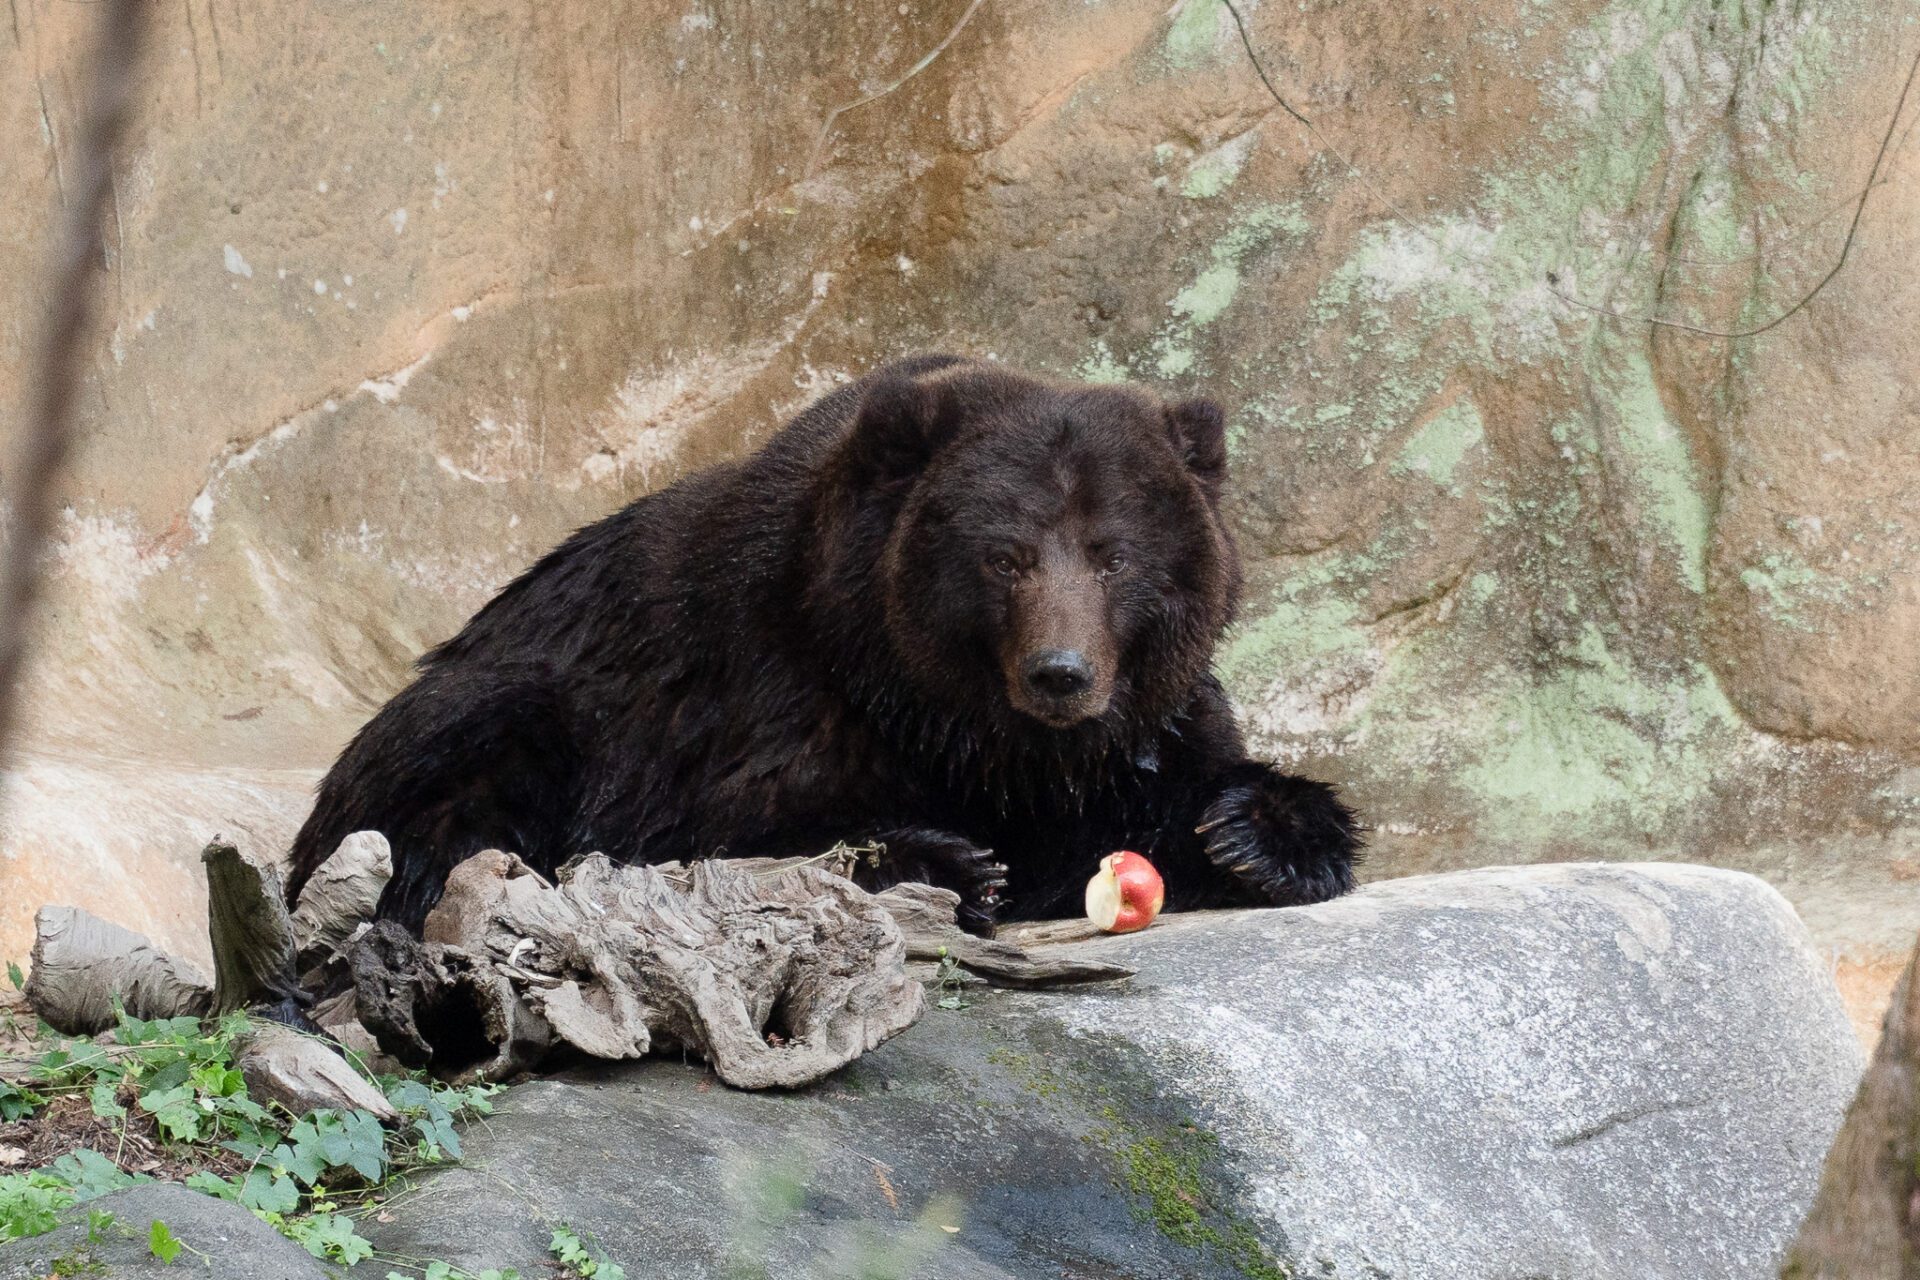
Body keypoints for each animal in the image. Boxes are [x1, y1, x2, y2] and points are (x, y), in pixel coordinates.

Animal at [284, 354, 1360, 935]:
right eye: (1005, 554)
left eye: (1113, 554)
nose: (1062, 673)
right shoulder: (760, 690)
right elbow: (720, 827)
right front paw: (952, 863)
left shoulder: (1137, 726)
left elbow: (1189, 779)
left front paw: (1258, 833)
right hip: (500, 697)